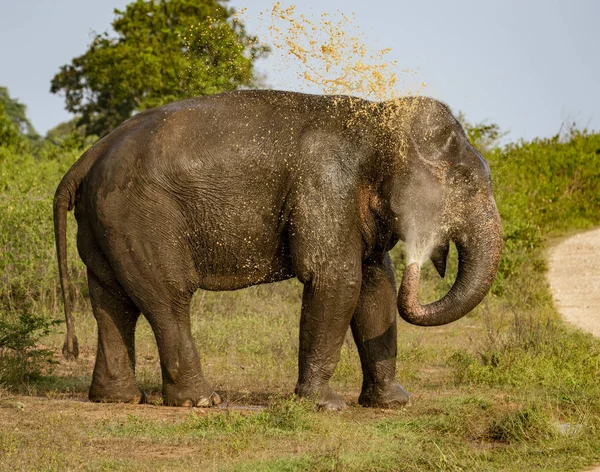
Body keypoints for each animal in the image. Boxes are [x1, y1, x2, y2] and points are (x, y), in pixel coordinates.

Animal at [54, 89, 502, 410]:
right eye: (464, 182)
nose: (422, 260)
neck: (374, 118)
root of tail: (88, 156)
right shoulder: (323, 186)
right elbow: (336, 280)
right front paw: (325, 406)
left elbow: (376, 286)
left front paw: (394, 404)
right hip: (141, 216)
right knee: (169, 298)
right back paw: (202, 401)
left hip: (106, 222)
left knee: (112, 302)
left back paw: (118, 399)